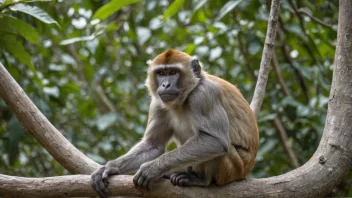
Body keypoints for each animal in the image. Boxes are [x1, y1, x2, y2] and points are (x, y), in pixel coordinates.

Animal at [90, 48, 262, 197]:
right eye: (161, 73)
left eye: (173, 72)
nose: (165, 84)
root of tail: (246, 170)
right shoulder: (158, 103)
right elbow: (154, 145)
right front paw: (110, 167)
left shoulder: (203, 94)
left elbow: (215, 141)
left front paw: (152, 168)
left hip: (234, 168)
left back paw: (200, 180)